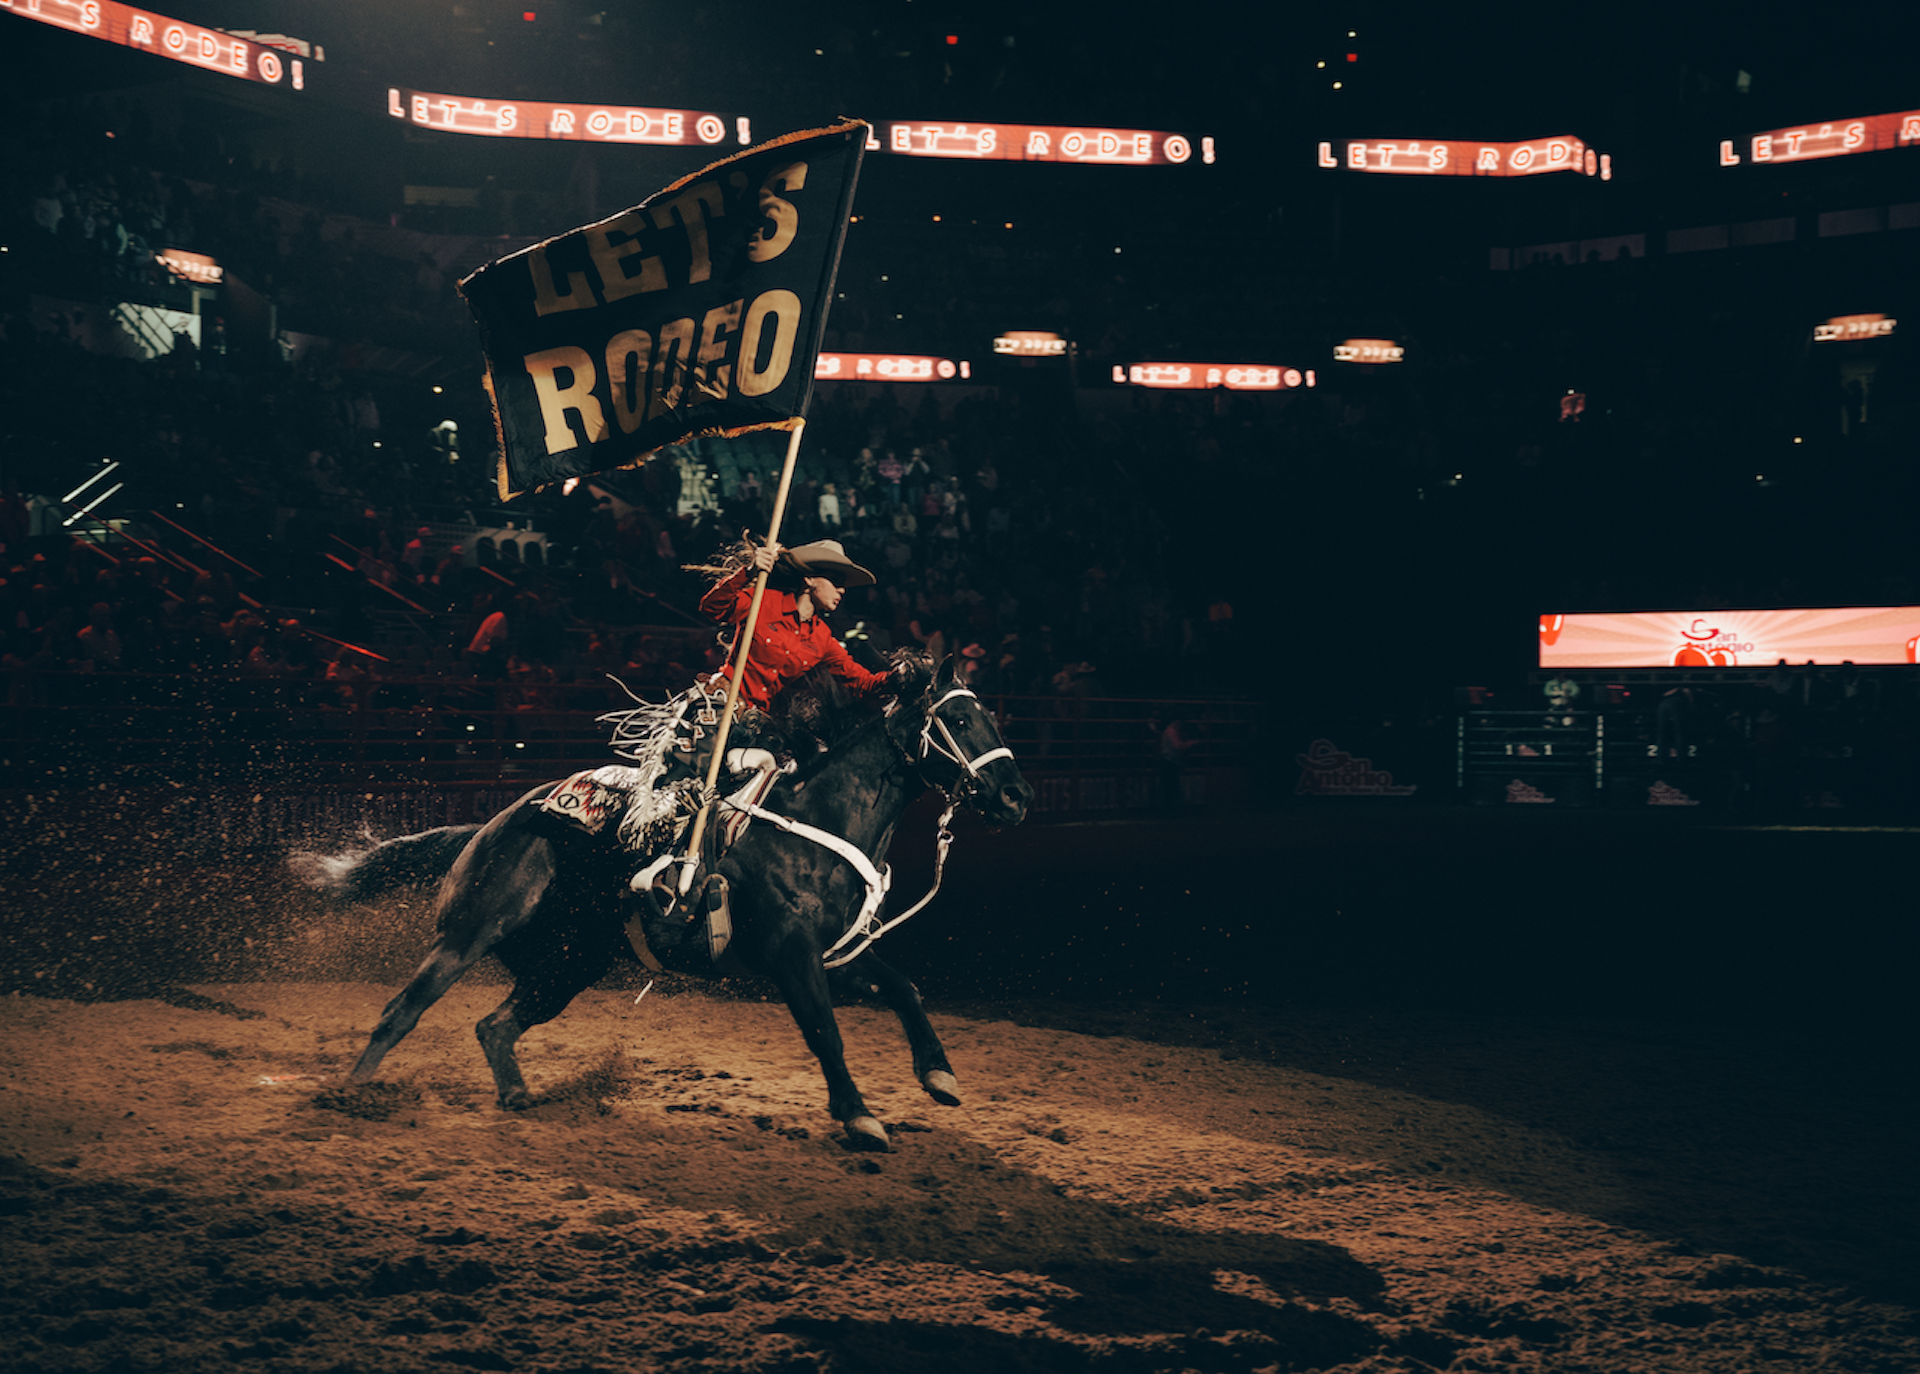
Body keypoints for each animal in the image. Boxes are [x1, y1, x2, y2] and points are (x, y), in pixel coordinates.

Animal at [301, 653, 1032, 1150]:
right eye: (959, 718)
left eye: (992, 714)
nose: (1016, 796)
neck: (817, 822)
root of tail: (487, 826)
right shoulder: (791, 957)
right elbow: (824, 1030)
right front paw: (858, 1116)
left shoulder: (837, 954)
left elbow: (905, 988)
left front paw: (939, 1077)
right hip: (468, 933)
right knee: (402, 1011)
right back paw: (349, 1094)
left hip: (568, 965)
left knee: (496, 1026)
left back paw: (517, 1097)